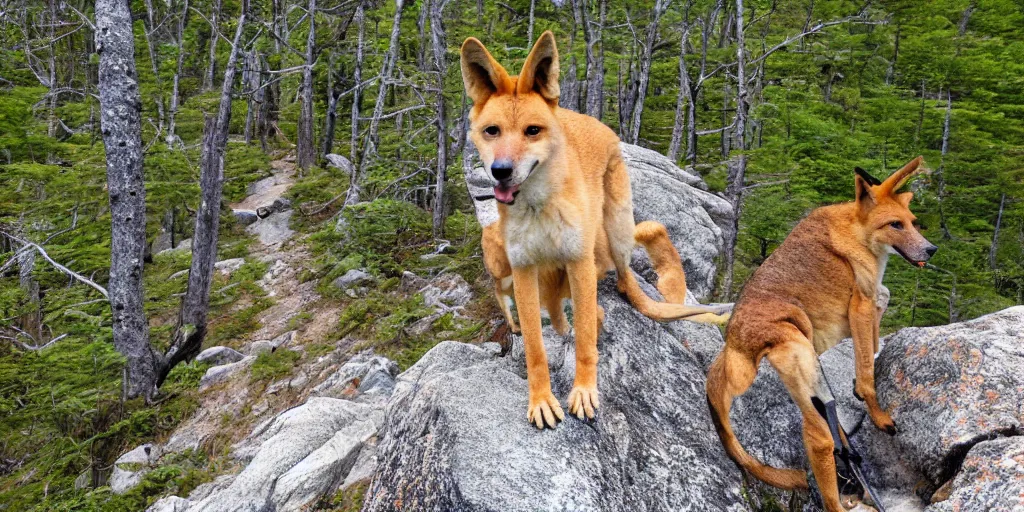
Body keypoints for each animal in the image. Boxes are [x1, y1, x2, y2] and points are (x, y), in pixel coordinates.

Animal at [464, 32, 729, 430]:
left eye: (532, 131)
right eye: (491, 132)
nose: (500, 171)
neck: (539, 206)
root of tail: (594, 121)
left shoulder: (578, 262)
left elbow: (586, 341)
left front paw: (585, 391)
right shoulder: (524, 270)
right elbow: (535, 348)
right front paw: (541, 400)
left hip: (615, 231)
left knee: (623, 278)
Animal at [708, 156, 937, 512]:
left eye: (913, 223)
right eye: (895, 225)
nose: (931, 250)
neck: (857, 232)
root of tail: (732, 345)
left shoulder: (868, 302)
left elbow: (874, 336)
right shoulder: (860, 304)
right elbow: (867, 373)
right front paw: (877, 413)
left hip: (812, 386)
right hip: (804, 371)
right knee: (821, 446)